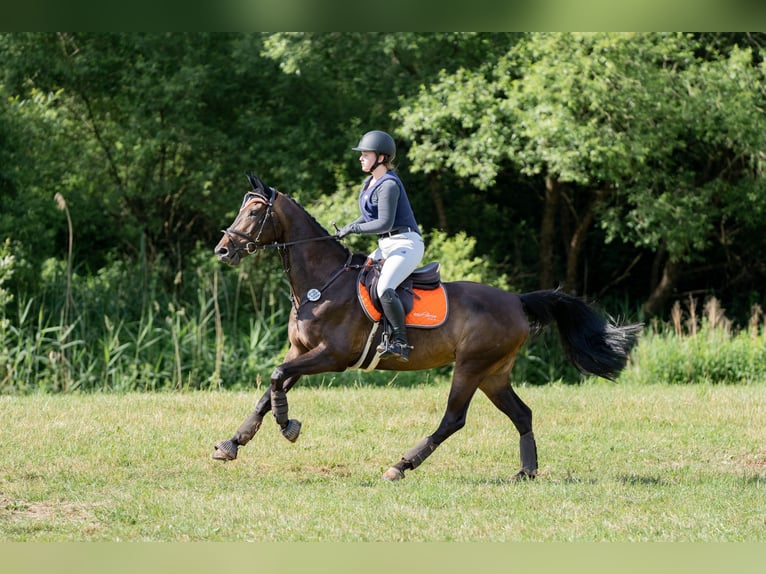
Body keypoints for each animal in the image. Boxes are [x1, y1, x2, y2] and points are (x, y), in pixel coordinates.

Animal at [210, 174, 640, 482]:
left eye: (254, 212)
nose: (222, 250)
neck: (322, 283)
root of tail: (516, 300)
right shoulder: (302, 351)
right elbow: (269, 389)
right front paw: (232, 443)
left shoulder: (331, 356)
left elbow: (276, 378)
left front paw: (288, 426)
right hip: (493, 373)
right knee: (522, 414)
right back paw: (526, 471)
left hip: (470, 366)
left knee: (453, 419)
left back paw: (401, 465)